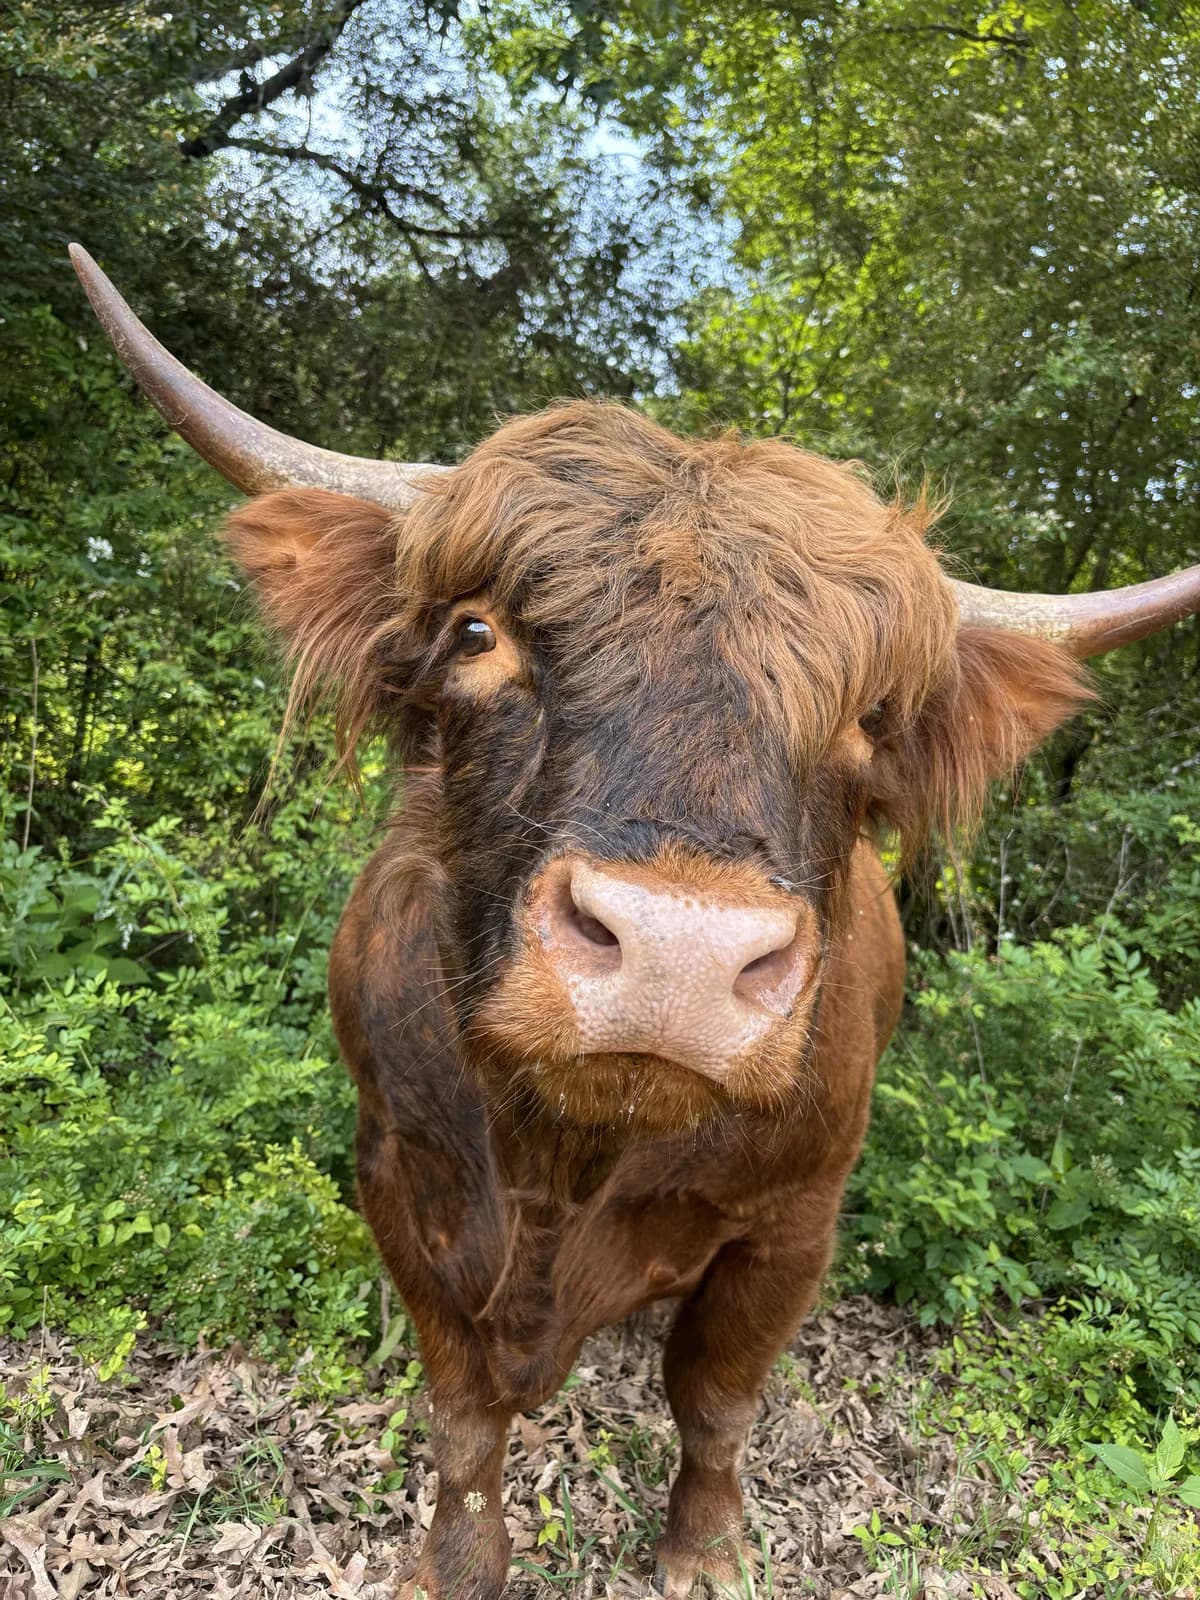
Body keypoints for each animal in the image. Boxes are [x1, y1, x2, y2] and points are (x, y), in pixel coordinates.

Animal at [71, 245, 1200, 1600]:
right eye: (476, 630)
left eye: (873, 716)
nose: (679, 953)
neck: (563, 1163)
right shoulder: (396, 1168)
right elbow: (463, 1412)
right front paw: (457, 1561)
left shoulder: (794, 1217)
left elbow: (713, 1398)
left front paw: (706, 1552)